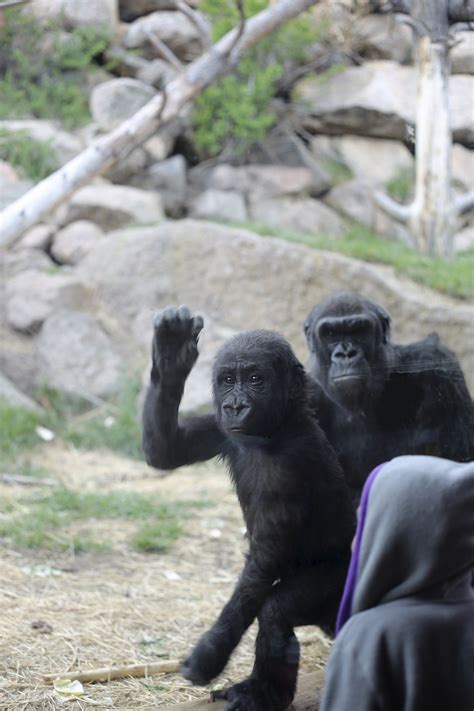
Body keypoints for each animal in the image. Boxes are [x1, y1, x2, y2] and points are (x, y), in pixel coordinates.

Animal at [142, 294, 474, 500]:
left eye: (359, 329)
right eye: (330, 334)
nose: (345, 353)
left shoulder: (437, 367)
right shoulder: (304, 395)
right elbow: (172, 449)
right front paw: (172, 356)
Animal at [145, 310, 356, 711]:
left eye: (255, 379)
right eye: (229, 380)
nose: (236, 405)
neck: (278, 428)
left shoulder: (289, 470)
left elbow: (264, 560)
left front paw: (210, 655)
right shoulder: (220, 427)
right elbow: (168, 451)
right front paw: (171, 357)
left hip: (340, 579)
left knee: (275, 611)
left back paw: (262, 693)